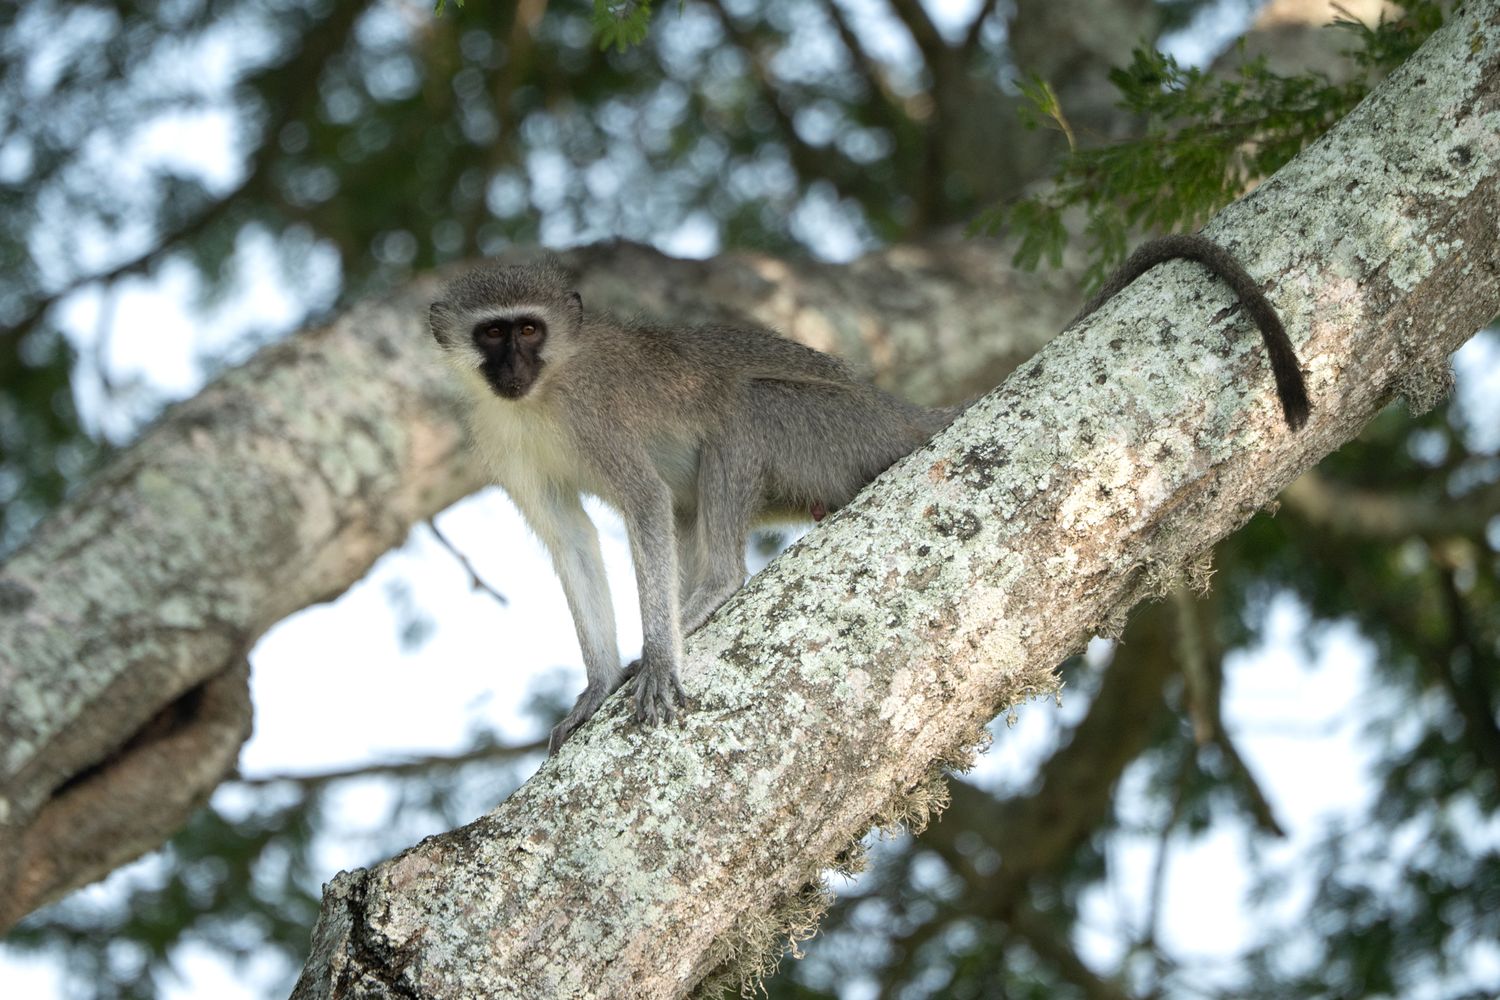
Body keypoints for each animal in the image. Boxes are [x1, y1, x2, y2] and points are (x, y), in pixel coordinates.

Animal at [429, 233, 1309, 754]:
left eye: (531, 330)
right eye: (492, 334)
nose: (512, 365)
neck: (540, 398)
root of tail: (890, 406)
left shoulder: (597, 416)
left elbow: (641, 502)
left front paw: (659, 661)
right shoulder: (503, 445)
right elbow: (573, 539)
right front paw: (596, 682)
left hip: (831, 432)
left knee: (743, 412)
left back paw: (712, 591)